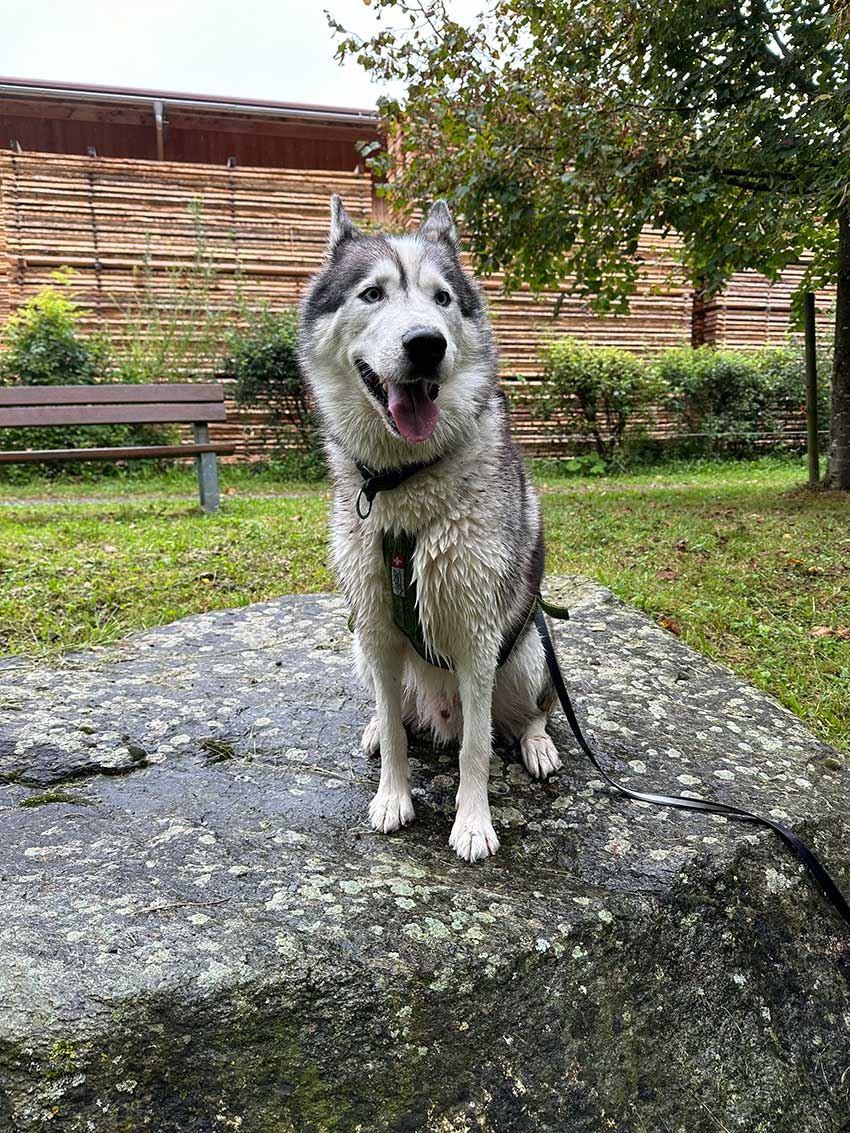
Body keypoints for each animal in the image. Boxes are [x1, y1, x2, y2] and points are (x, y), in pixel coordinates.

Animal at [298, 196, 561, 861]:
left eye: (442, 298)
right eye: (372, 293)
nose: (426, 344)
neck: (404, 481)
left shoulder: (478, 635)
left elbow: (476, 749)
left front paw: (472, 823)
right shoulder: (375, 627)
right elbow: (397, 735)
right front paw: (394, 797)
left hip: (528, 653)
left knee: (527, 714)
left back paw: (539, 743)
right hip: (362, 649)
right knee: (396, 713)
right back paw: (374, 725)